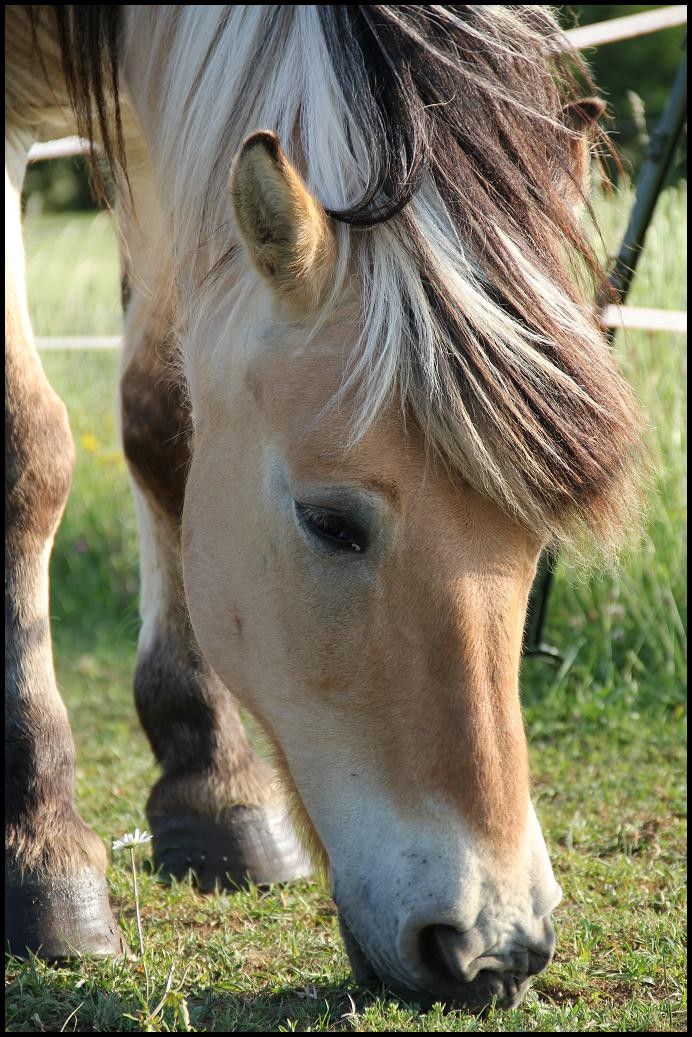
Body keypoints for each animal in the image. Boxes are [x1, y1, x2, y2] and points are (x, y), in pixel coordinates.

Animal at [5, 5, 642, 1011]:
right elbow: (29, 450)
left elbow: (165, 421)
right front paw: (44, 854)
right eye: (329, 522)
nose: (495, 947)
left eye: (537, 538)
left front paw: (214, 786)